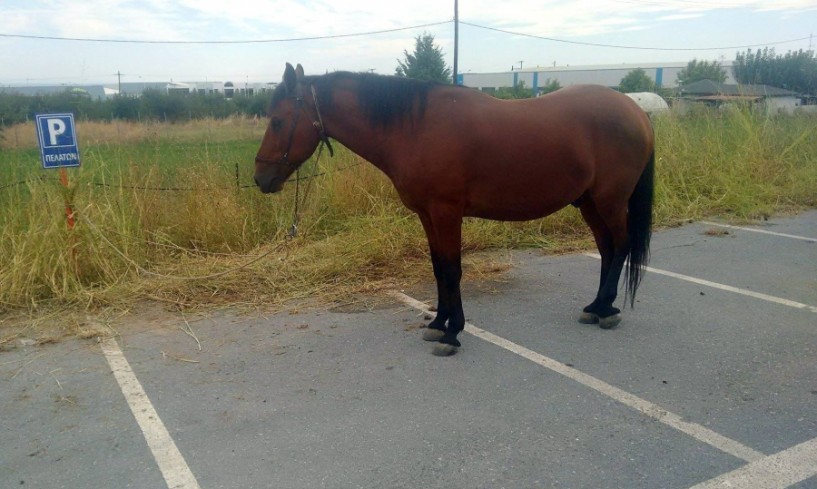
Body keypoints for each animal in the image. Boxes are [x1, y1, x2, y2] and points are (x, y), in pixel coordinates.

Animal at [256, 63, 656, 354]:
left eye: (277, 120)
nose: (261, 178)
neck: (414, 127)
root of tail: (636, 111)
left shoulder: (446, 212)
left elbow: (452, 269)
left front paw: (452, 333)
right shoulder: (427, 214)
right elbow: (438, 268)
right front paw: (438, 324)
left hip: (610, 200)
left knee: (620, 245)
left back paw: (607, 310)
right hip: (588, 202)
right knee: (607, 249)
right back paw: (596, 307)